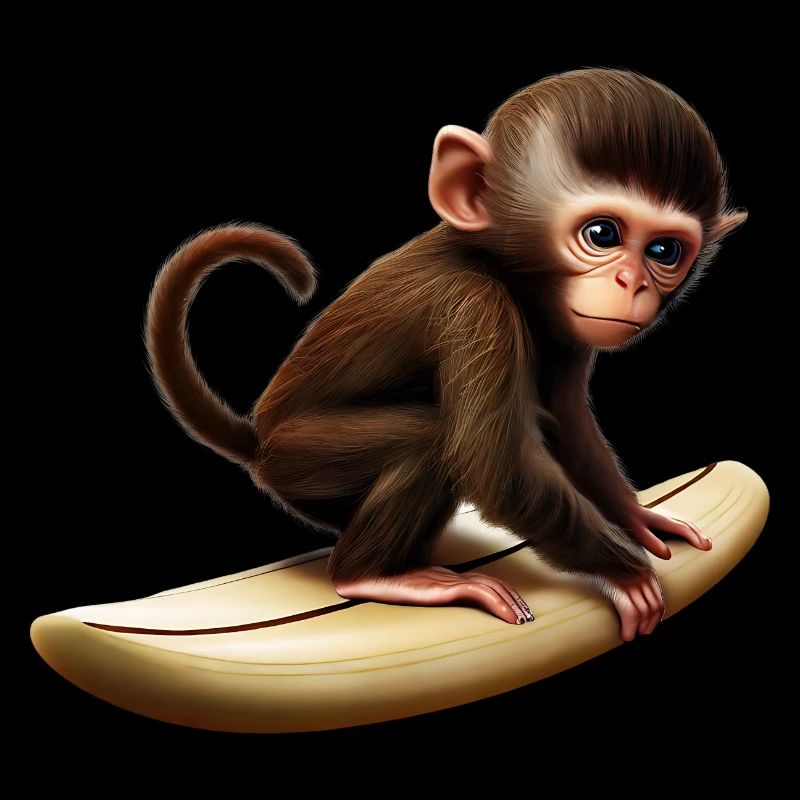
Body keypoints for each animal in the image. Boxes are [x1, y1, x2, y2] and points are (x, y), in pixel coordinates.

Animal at [146, 68, 747, 642]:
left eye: (664, 251)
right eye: (602, 234)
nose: (632, 283)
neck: (500, 266)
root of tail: (261, 439)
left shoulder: (567, 330)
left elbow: (570, 426)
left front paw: (636, 518)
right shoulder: (473, 305)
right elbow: (500, 470)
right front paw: (625, 573)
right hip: (302, 460)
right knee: (425, 438)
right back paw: (372, 576)